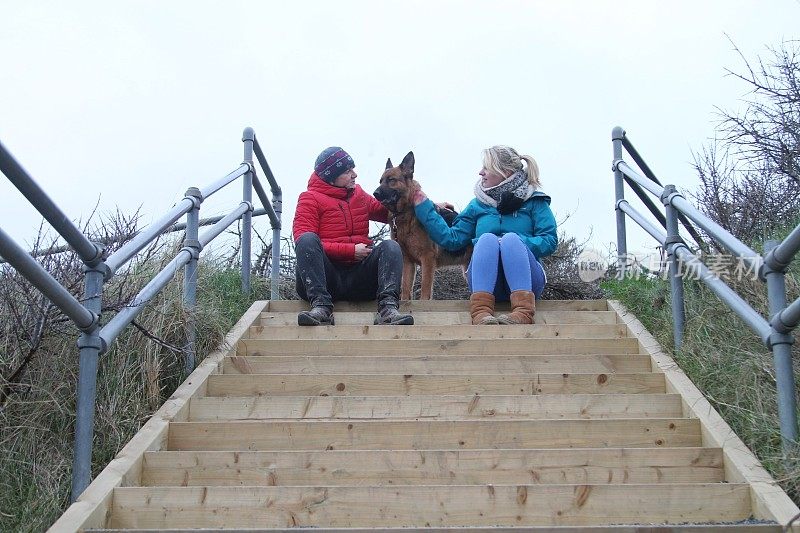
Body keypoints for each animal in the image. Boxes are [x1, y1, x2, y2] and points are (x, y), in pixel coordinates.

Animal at [374, 152, 472, 300]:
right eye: (380, 181)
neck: (406, 213)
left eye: (391, 180)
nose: (375, 193)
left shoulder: (427, 260)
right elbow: (406, 290)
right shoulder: (408, 262)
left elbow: (425, 293)